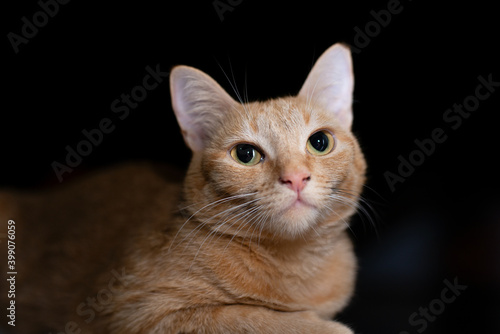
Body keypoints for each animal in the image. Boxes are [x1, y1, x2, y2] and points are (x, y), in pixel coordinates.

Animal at [0, 43, 368, 332]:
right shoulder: (138, 312)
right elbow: (248, 318)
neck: (296, 264)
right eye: (245, 154)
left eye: (319, 142)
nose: (295, 178)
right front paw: (323, 328)